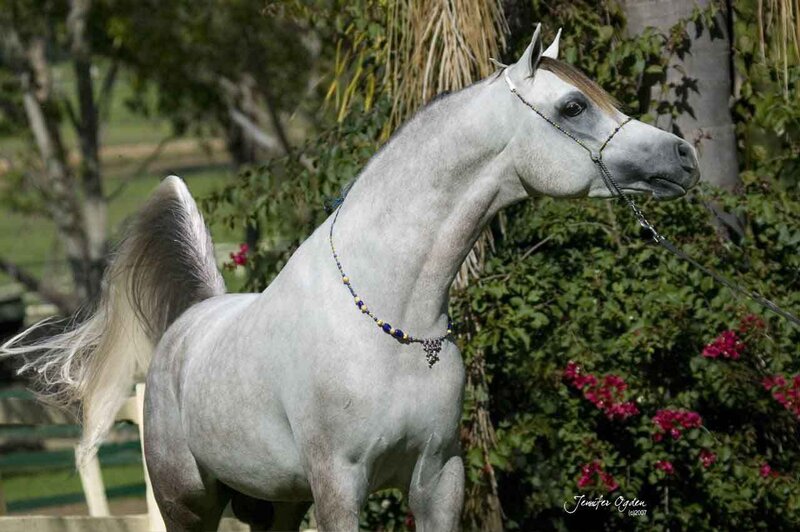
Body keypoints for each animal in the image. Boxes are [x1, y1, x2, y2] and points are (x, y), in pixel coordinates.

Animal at [2, 25, 699, 531]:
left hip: (277, 502)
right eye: (574, 105)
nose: (683, 157)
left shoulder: (439, 479)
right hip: (188, 504)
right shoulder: (340, 484)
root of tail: (187, 324)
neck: (393, 327)